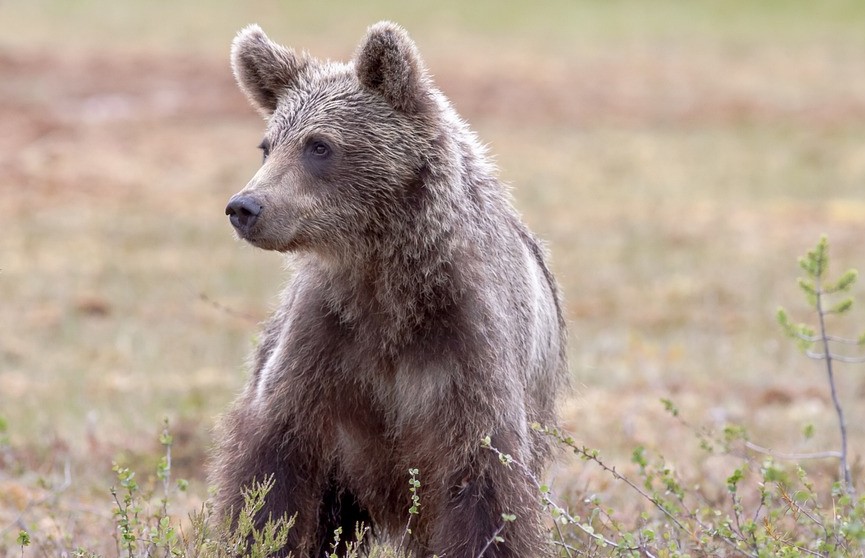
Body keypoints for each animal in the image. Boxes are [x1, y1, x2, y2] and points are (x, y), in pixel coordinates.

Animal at [213, 21, 568, 558]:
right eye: (268, 144)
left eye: (319, 145)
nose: (245, 207)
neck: (388, 284)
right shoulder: (323, 346)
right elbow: (270, 476)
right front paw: (260, 535)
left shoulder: (467, 350)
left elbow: (487, 491)